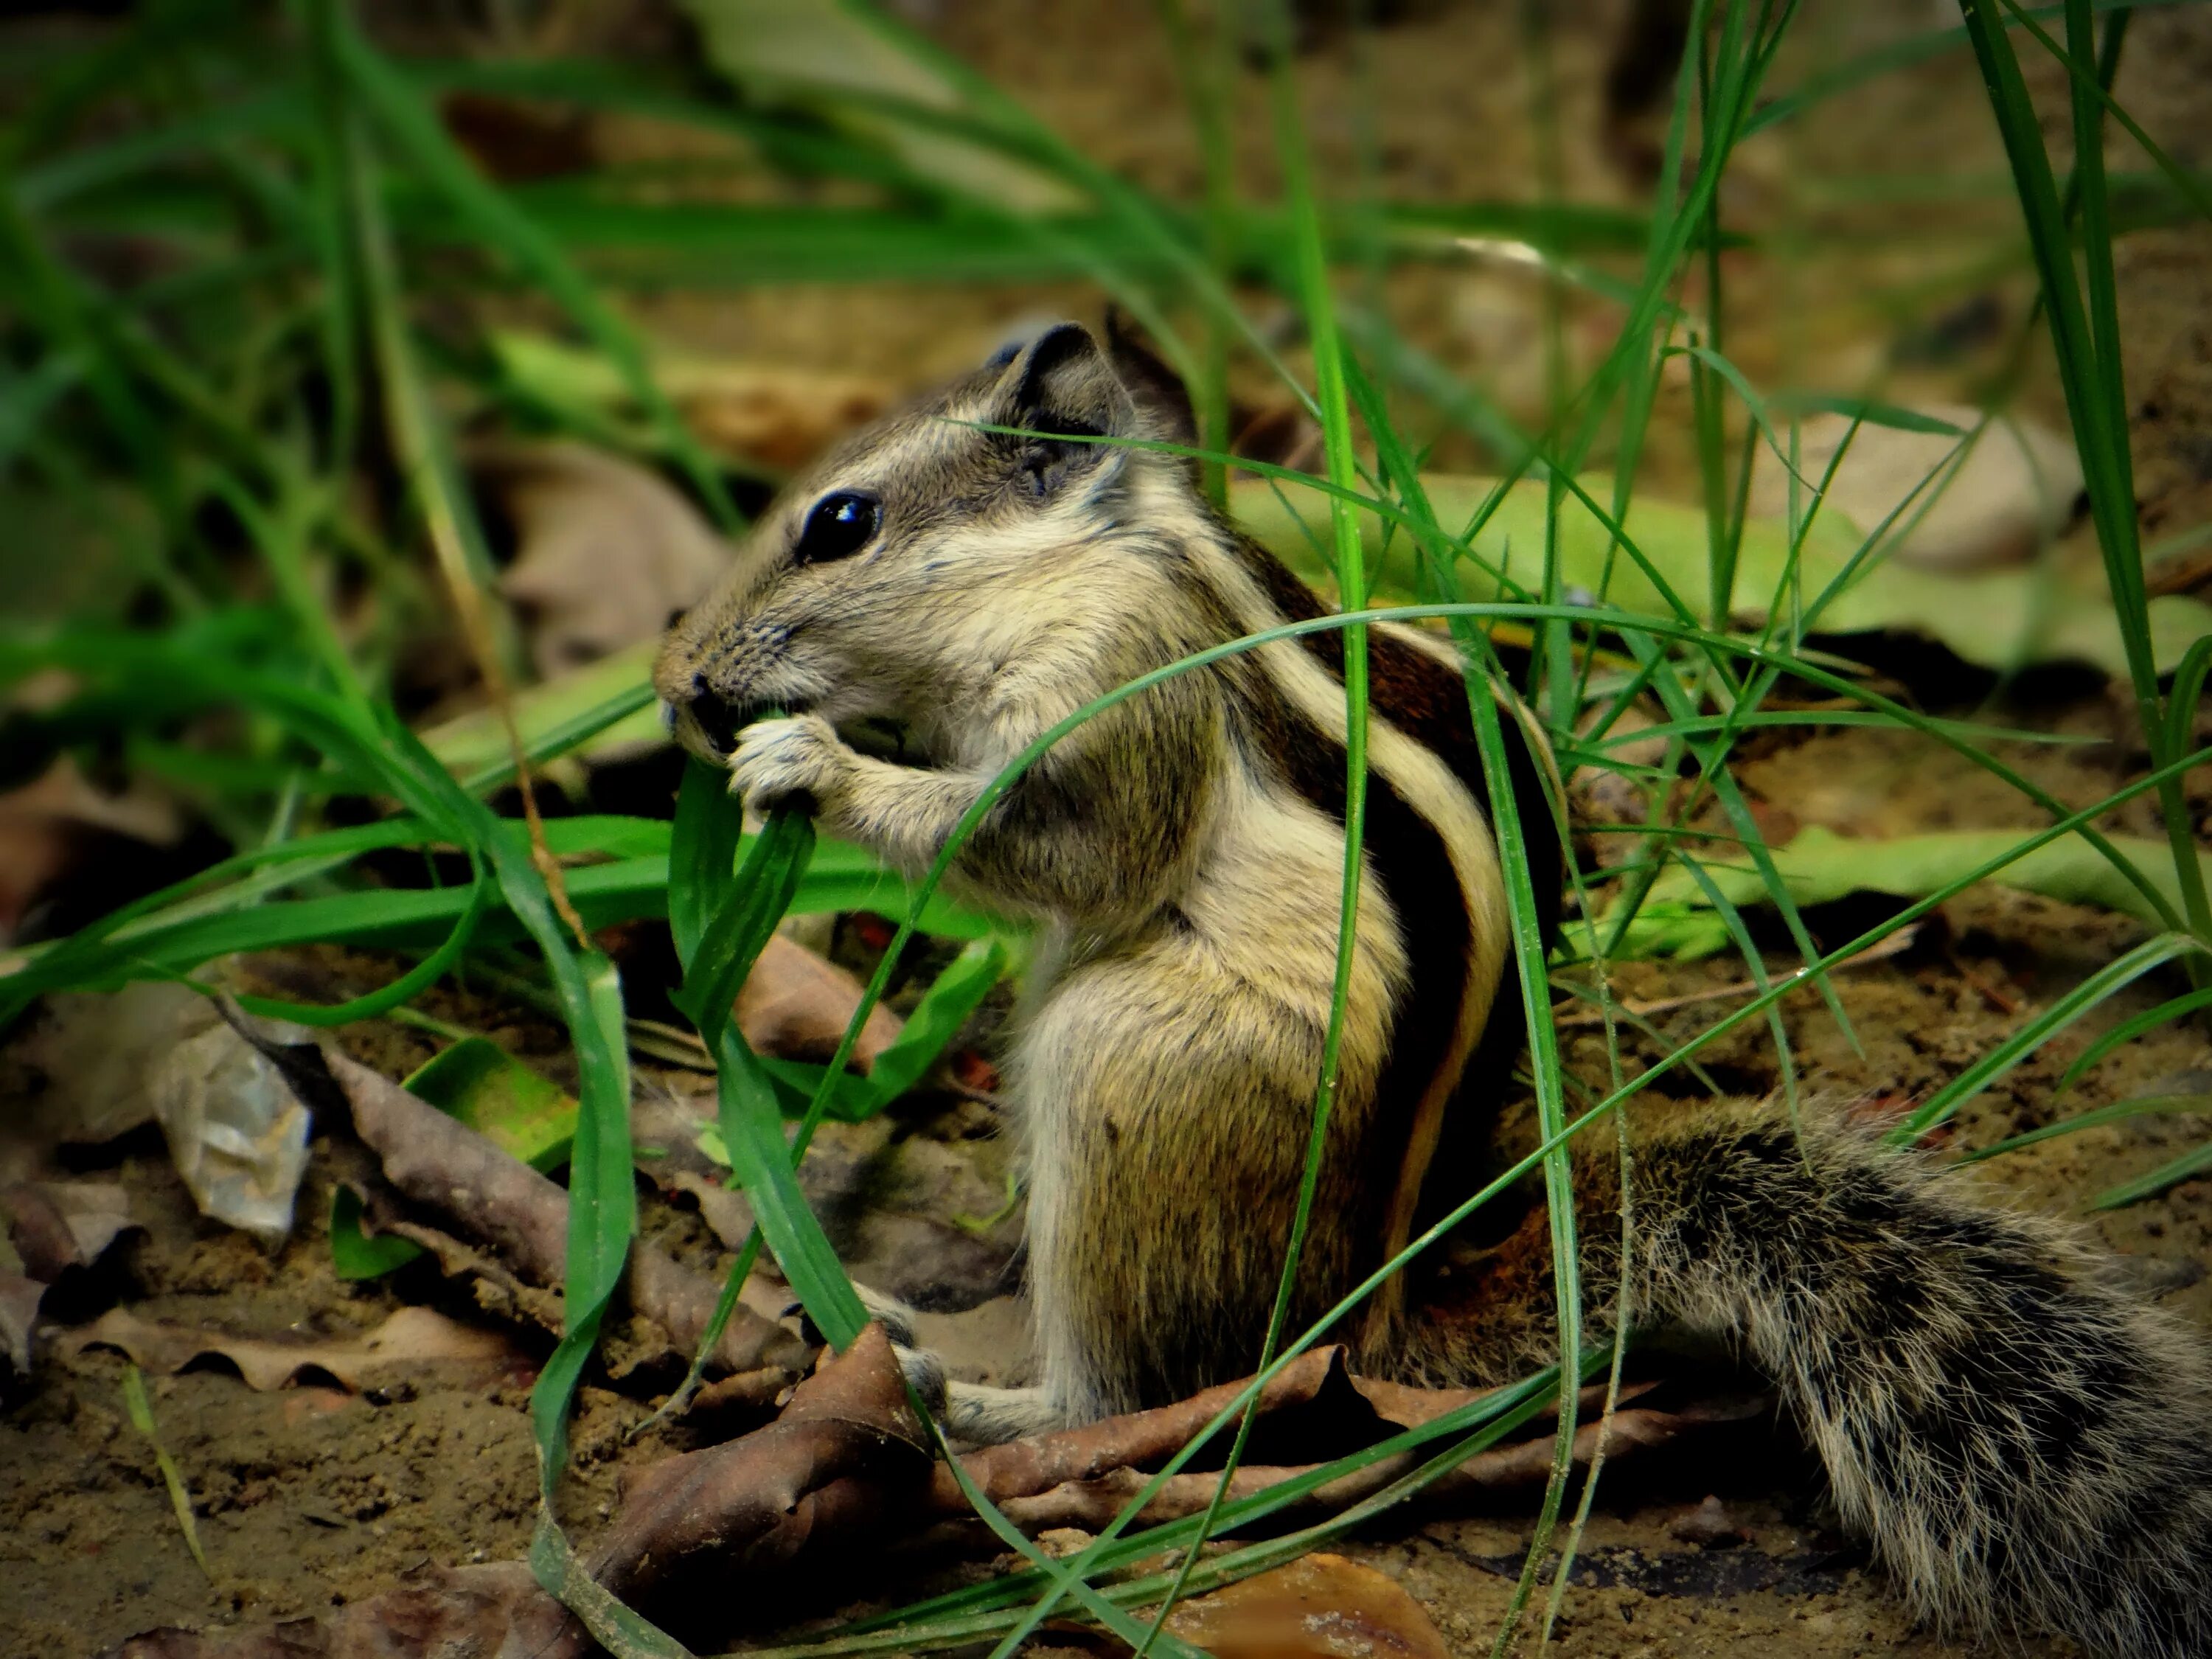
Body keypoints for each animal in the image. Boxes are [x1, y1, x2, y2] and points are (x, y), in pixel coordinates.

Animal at [655, 319, 2212, 1655]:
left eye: (840, 524)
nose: (678, 684)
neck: (1101, 550)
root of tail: (1370, 1309)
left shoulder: (1118, 688)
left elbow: (1064, 851)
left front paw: (809, 764)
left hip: (1122, 1067)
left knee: (1136, 1389)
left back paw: (961, 1398)